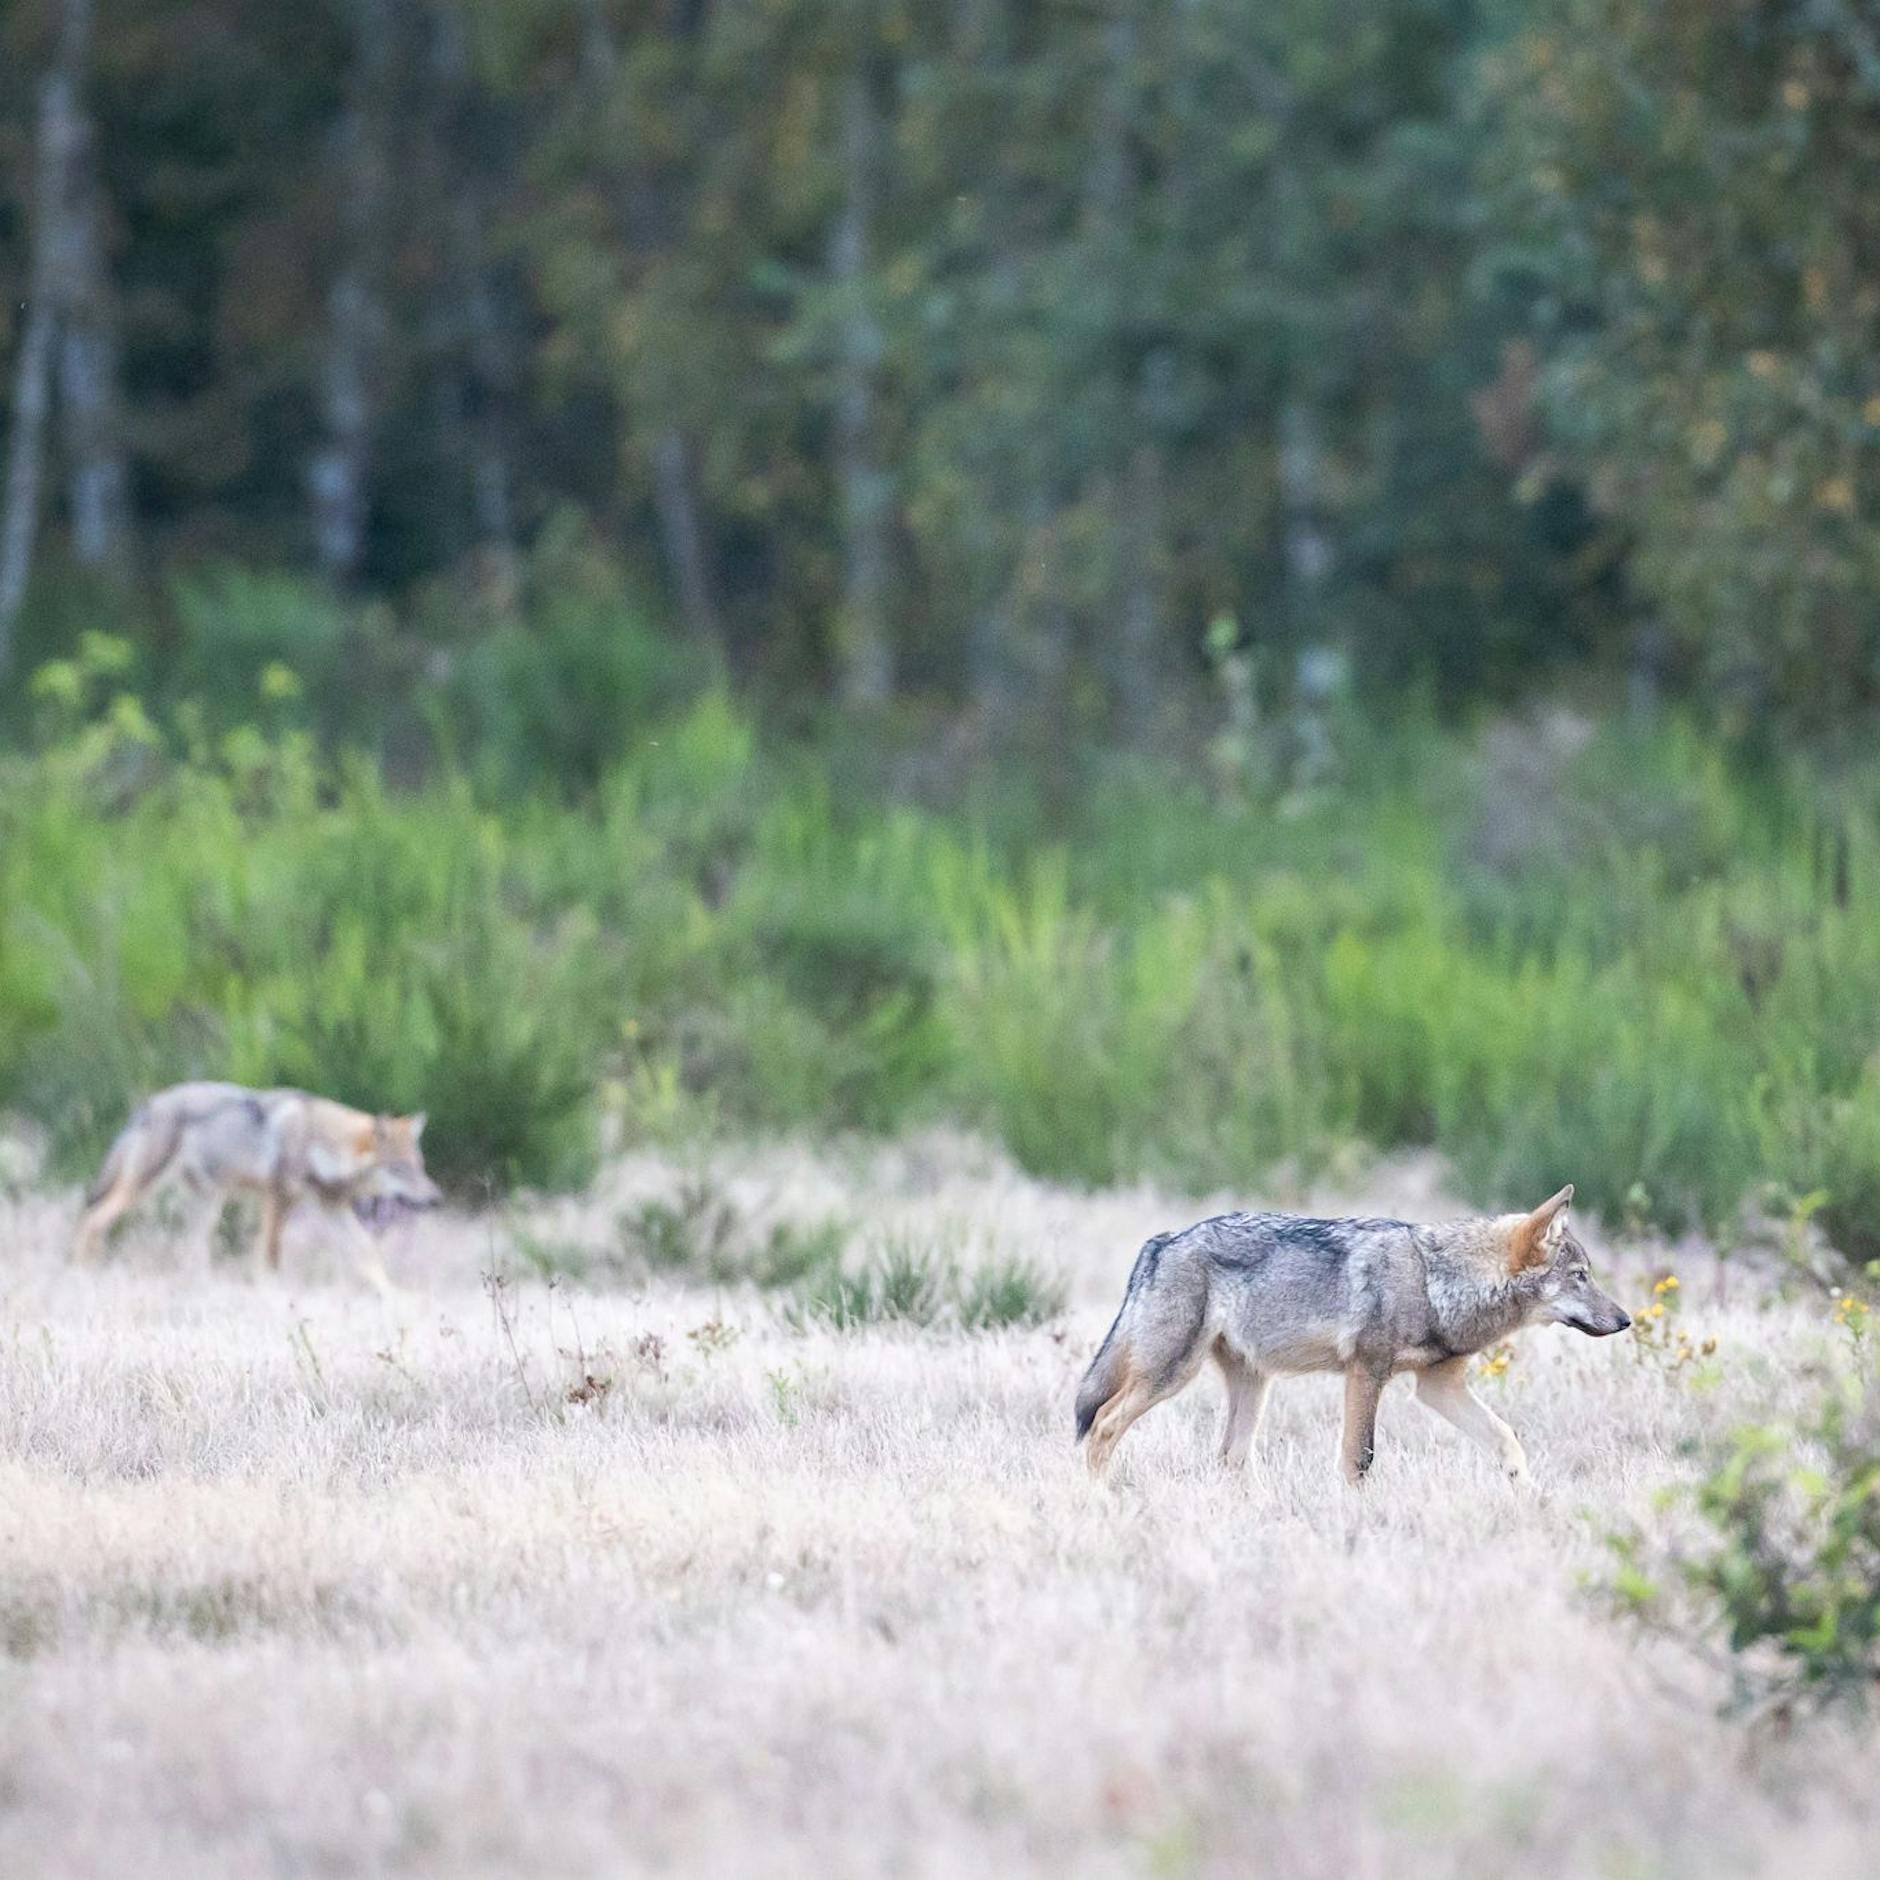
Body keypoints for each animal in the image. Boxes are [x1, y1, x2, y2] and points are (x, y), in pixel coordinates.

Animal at [72, 1083, 440, 1293]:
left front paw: (395, 1299)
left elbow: (367, 1253)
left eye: (420, 1167)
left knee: (191, 1251)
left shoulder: (331, 1207)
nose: (436, 1199)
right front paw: (273, 1296)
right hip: (141, 1190)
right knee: (92, 1220)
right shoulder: (277, 1199)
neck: (316, 1140)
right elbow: (271, 1256)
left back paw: (206, 1289)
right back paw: (85, 1276)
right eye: (400, 1170)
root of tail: (150, 1105)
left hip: (208, 1205)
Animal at [1074, 1186, 1629, 1485]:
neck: (1435, 1280)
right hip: (1171, 1374)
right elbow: (1359, 1458)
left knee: (1230, 1456)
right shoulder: (1367, 1371)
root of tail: (1162, 1241)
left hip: (1252, 1386)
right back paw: (1100, 1500)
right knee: (1102, 1425)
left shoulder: (1439, 1386)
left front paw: (1531, 1501)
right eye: (1580, 1277)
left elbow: (1507, 1441)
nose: (1625, 1320)